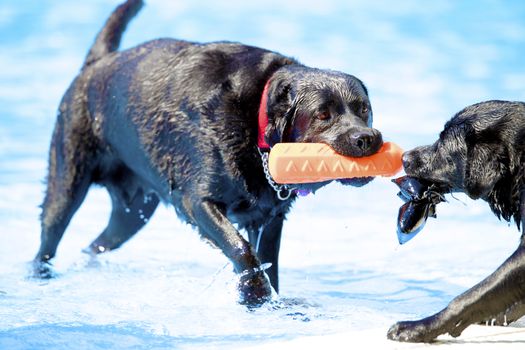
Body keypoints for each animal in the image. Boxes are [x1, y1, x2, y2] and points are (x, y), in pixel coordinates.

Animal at [34, 0, 382, 304]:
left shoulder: (269, 219)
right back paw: (41, 276)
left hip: (134, 210)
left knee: (98, 244)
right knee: (49, 237)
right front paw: (254, 294)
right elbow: (242, 249)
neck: (255, 125)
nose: (367, 138)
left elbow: (269, 262)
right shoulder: (197, 201)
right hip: (67, 184)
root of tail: (95, 64)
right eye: (323, 114)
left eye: (364, 110)